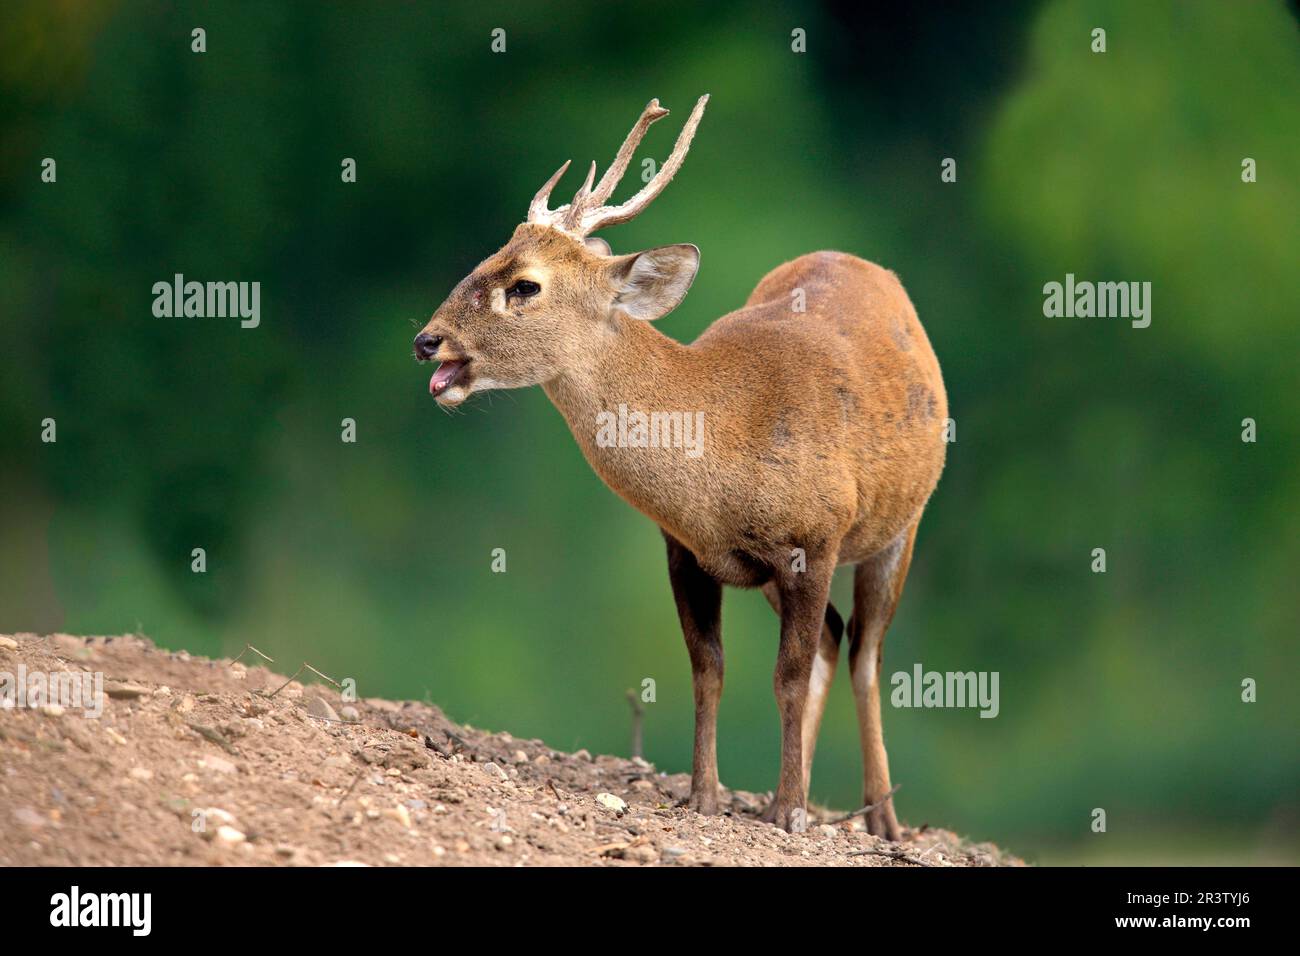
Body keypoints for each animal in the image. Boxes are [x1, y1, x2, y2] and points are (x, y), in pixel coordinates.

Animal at [413, 93, 946, 832]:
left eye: (525, 285)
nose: (427, 340)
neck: (721, 443)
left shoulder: (815, 535)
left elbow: (784, 675)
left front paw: (788, 812)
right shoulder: (685, 549)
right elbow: (708, 669)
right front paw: (705, 795)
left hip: (901, 524)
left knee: (865, 651)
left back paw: (877, 818)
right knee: (835, 642)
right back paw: (797, 790)